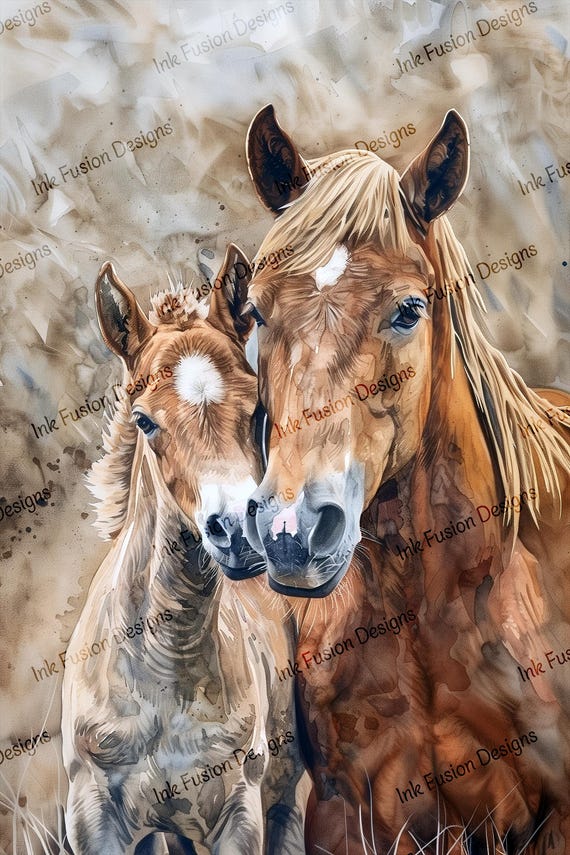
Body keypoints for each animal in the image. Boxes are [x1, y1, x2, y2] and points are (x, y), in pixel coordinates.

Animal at [61, 245, 307, 855]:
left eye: (258, 408)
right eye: (145, 420)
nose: (239, 532)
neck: (164, 670)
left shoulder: (238, 814)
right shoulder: (94, 818)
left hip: (285, 792)